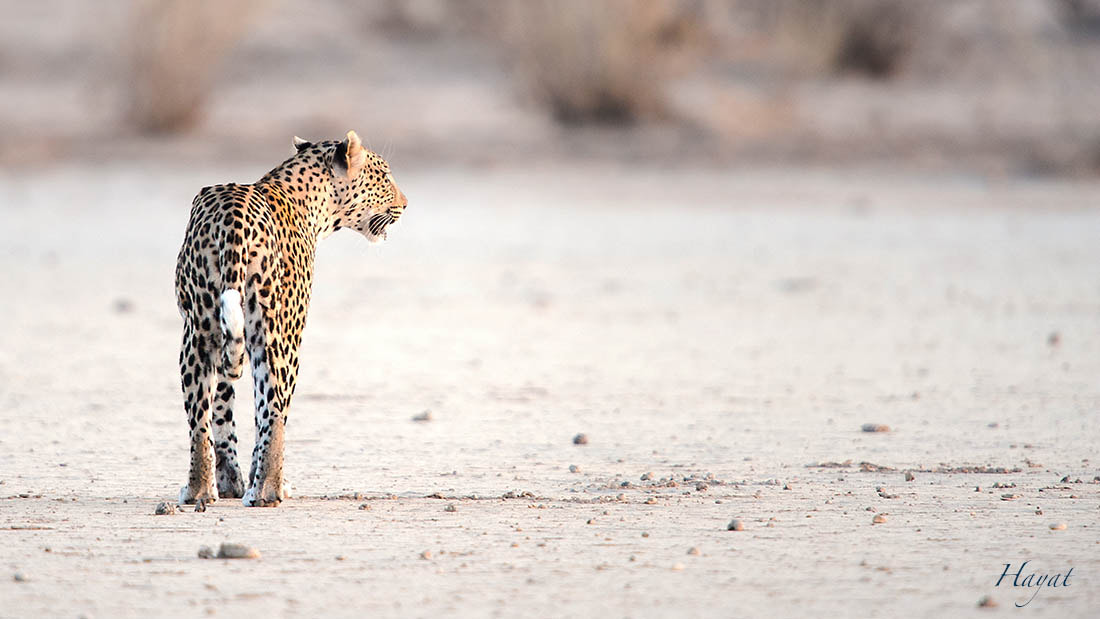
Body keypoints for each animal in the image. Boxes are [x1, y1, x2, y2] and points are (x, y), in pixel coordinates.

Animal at [173, 130, 407, 507]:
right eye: (384, 176)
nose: (405, 203)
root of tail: (234, 218)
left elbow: (223, 409)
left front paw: (229, 483)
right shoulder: (289, 332)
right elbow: (269, 414)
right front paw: (252, 482)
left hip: (200, 331)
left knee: (199, 420)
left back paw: (198, 490)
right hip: (274, 336)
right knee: (274, 410)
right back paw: (269, 490)